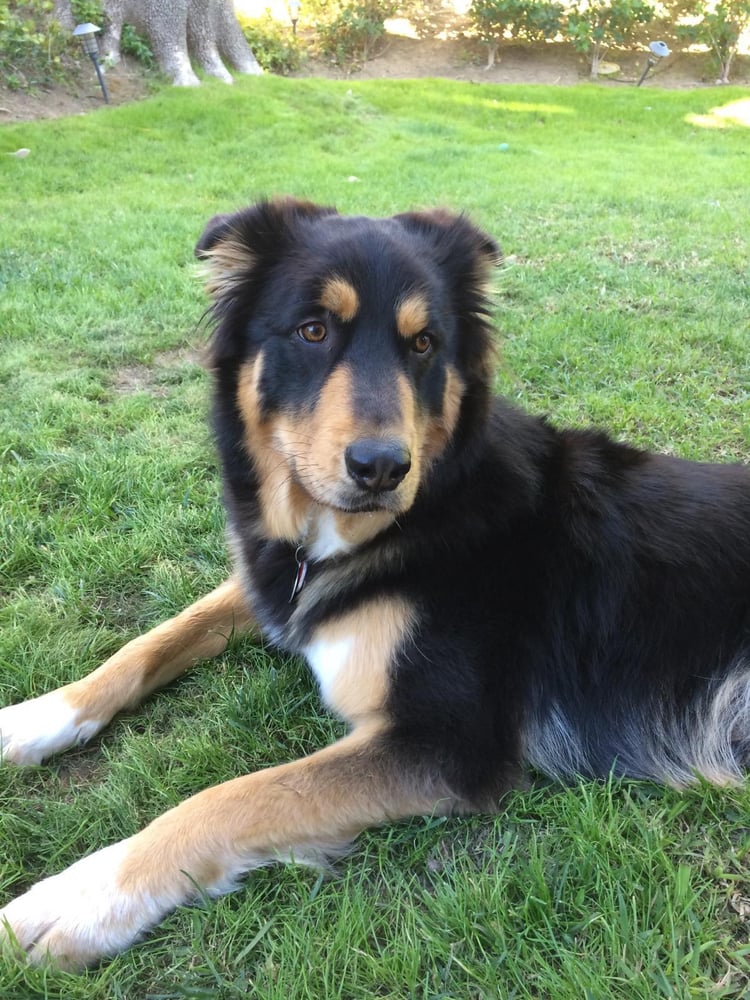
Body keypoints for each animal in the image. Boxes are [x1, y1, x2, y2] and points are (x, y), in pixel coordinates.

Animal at [1, 198, 748, 969]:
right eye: (313, 329)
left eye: (423, 344)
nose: (383, 468)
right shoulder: (282, 584)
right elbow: (158, 638)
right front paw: (38, 715)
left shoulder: (450, 742)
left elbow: (237, 796)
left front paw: (84, 897)